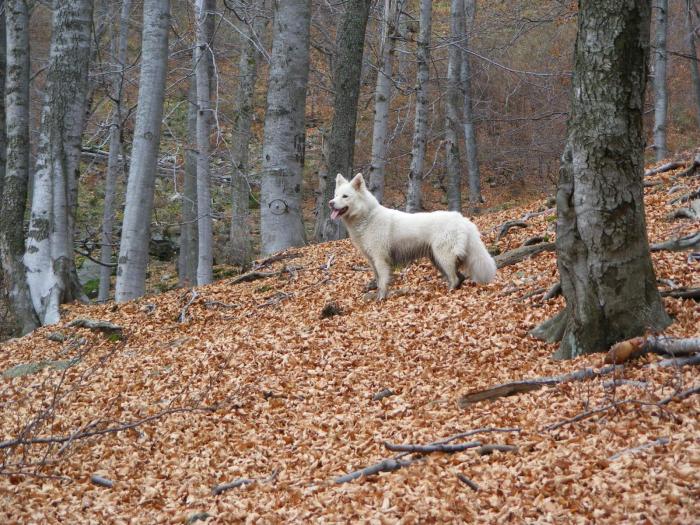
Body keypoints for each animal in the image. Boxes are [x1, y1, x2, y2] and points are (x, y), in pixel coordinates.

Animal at [330, 174, 498, 298]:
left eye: (345, 196)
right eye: (336, 195)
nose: (330, 203)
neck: (367, 217)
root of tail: (462, 218)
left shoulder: (380, 259)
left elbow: (383, 283)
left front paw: (381, 299)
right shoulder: (372, 261)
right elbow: (378, 281)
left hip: (443, 257)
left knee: (455, 278)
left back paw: (448, 293)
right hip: (436, 259)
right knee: (459, 277)